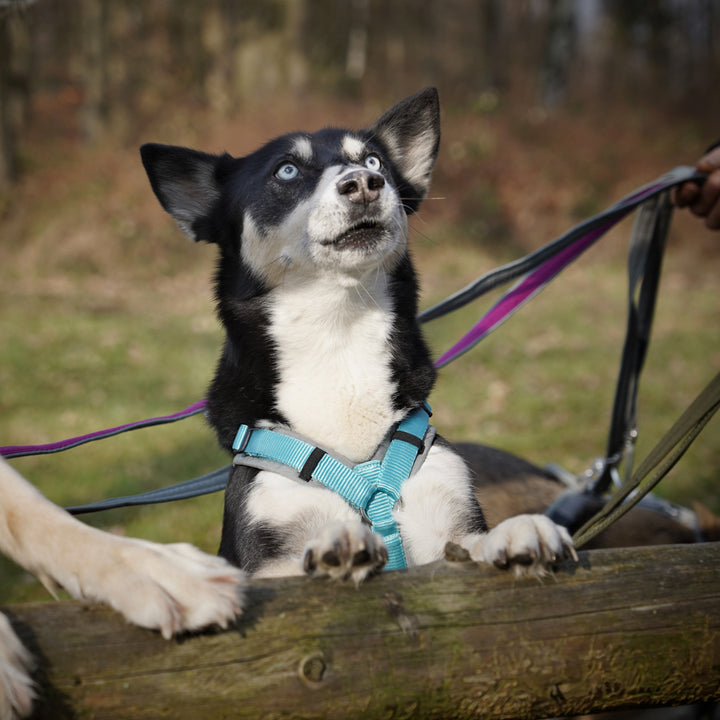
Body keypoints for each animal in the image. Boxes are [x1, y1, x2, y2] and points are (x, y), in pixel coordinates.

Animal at [141, 88, 576, 584]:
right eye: (286, 170)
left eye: (373, 160)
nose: (365, 183)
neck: (338, 329)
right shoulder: (264, 547)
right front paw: (339, 545)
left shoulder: (445, 517)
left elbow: (471, 544)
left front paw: (518, 532)